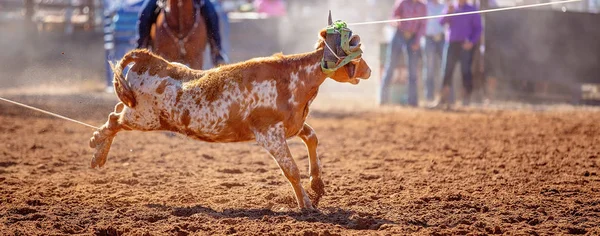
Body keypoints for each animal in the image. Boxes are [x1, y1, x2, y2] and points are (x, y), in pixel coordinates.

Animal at [89, 28, 370, 208]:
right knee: (114, 120)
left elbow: (312, 138)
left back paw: (98, 155)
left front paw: (318, 184)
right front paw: (306, 204)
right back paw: (95, 147)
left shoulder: (292, 126)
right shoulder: (269, 133)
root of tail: (152, 60)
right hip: (143, 117)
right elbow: (291, 169)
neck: (293, 77)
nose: (368, 70)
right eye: (356, 52)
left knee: (116, 110)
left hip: (137, 111)